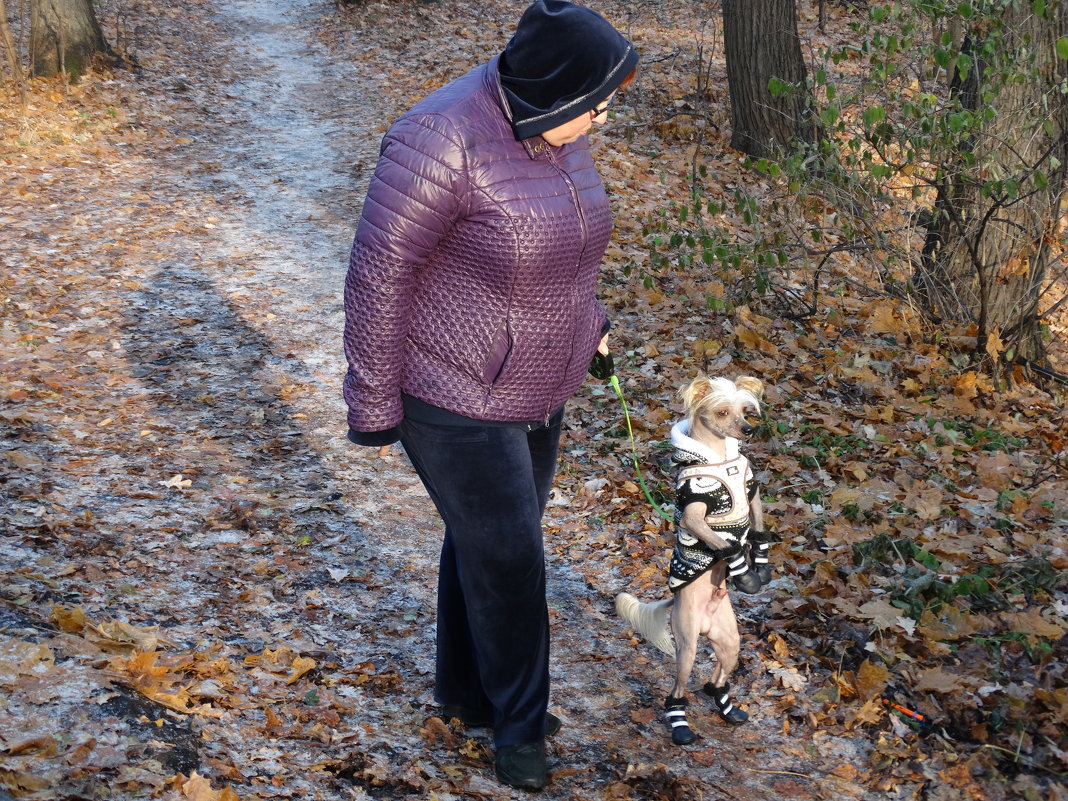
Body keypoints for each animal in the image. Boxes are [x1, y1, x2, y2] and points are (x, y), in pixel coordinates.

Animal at [615, 375, 773, 747]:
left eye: (746, 411)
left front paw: (759, 562)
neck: (719, 460)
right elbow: (724, 545)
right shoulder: (693, 516)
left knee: (716, 678)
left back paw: (725, 705)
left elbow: (757, 531)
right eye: (722, 411)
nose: (747, 429)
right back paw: (680, 726)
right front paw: (742, 571)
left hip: (729, 642)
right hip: (686, 649)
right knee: (678, 690)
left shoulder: (752, 493)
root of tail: (704, 623)